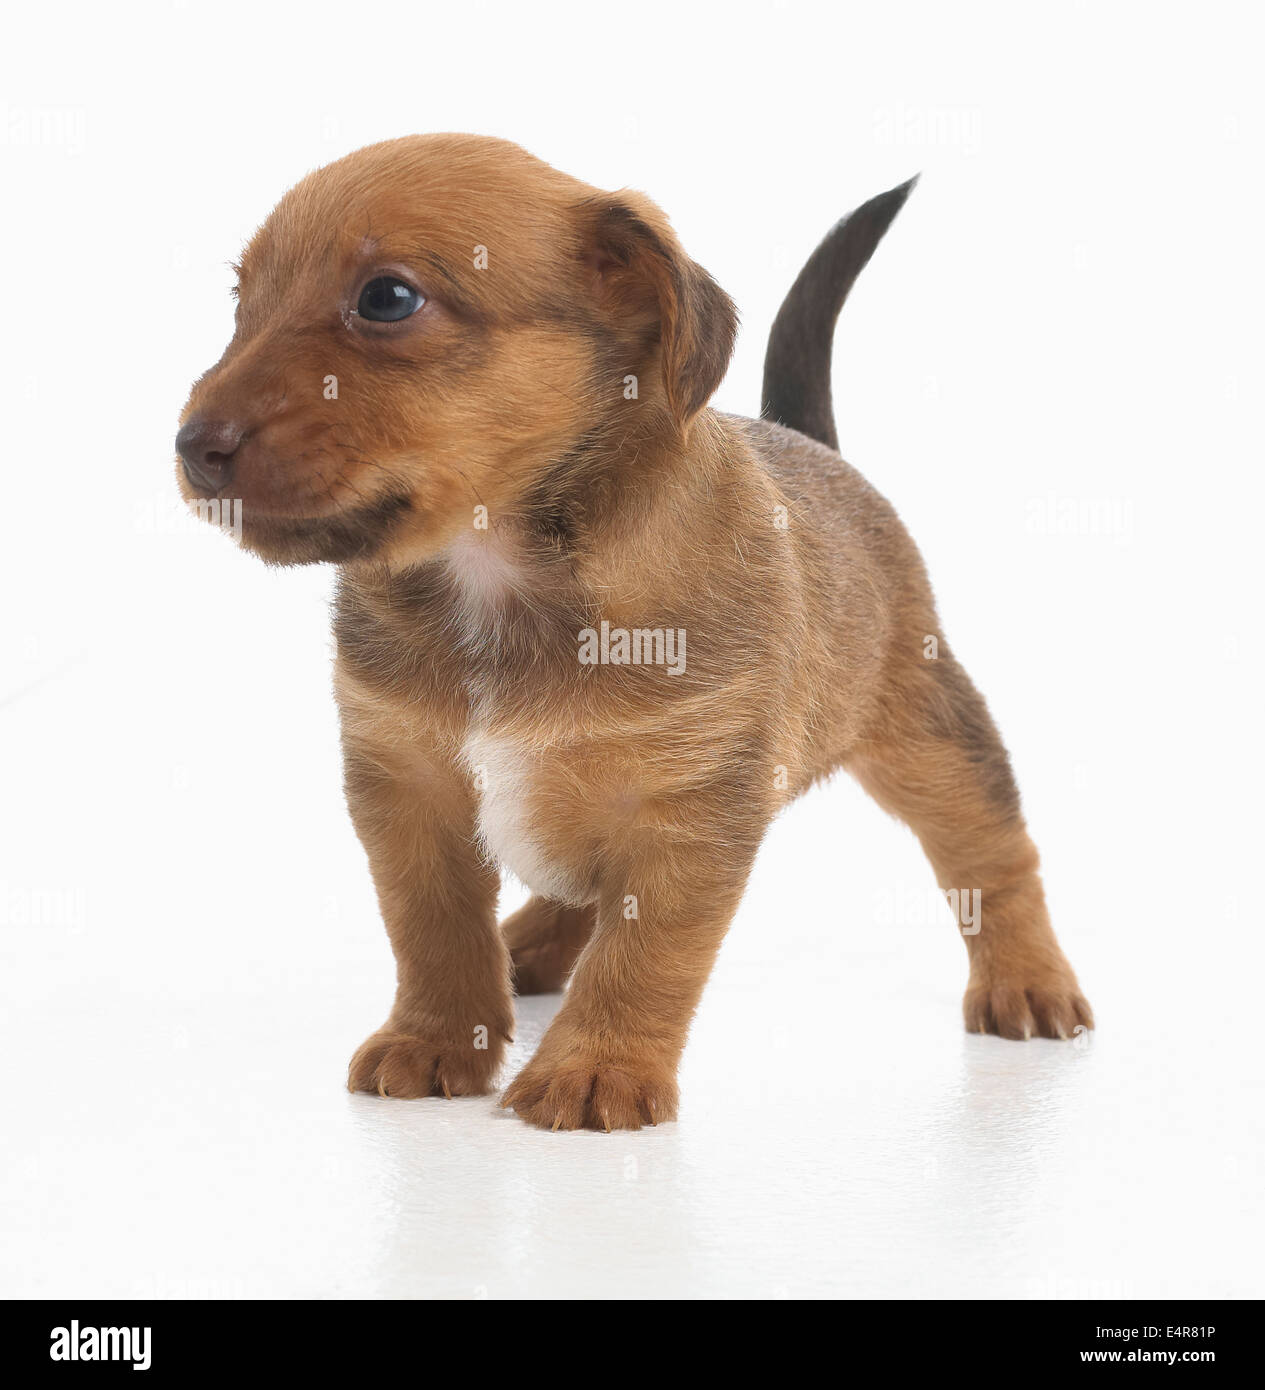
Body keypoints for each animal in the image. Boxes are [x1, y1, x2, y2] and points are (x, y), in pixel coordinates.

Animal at [175, 132, 1089, 1128]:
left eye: (387, 298)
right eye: (241, 301)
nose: (191, 447)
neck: (495, 568)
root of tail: (815, 446)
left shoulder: (684, 811)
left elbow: (643, 956)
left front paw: (594, 1068)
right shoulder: (407, 789)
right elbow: (433, 931)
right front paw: (436, 1038)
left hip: (929, 735)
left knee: (993, 855)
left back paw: (1028, 981)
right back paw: (529, 945)